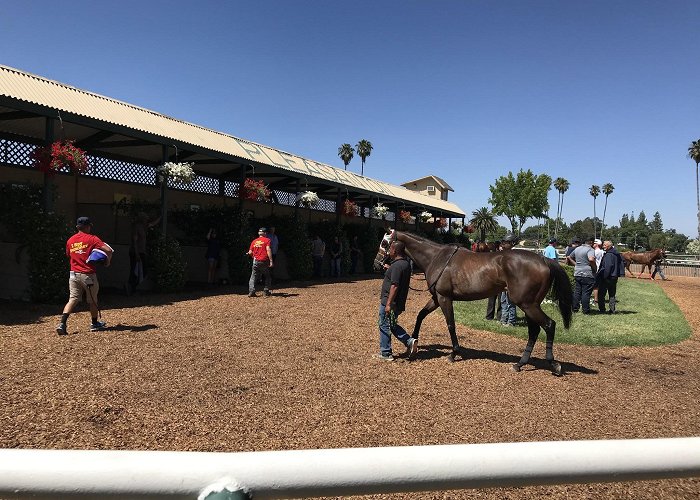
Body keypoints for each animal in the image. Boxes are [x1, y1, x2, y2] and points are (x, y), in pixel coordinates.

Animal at [374, 230, 572, 376]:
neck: (436, 257)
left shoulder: (444, 298)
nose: (376, 264)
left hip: (528, 305)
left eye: (384, 243)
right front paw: (412, 343)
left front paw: (454, 353)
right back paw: (520, 363)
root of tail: (544, 260)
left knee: (549, 325)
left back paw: (553, 364)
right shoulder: (437, 298)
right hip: (529, 305)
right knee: (534, 331)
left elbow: (451, 324)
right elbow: (420, 315)